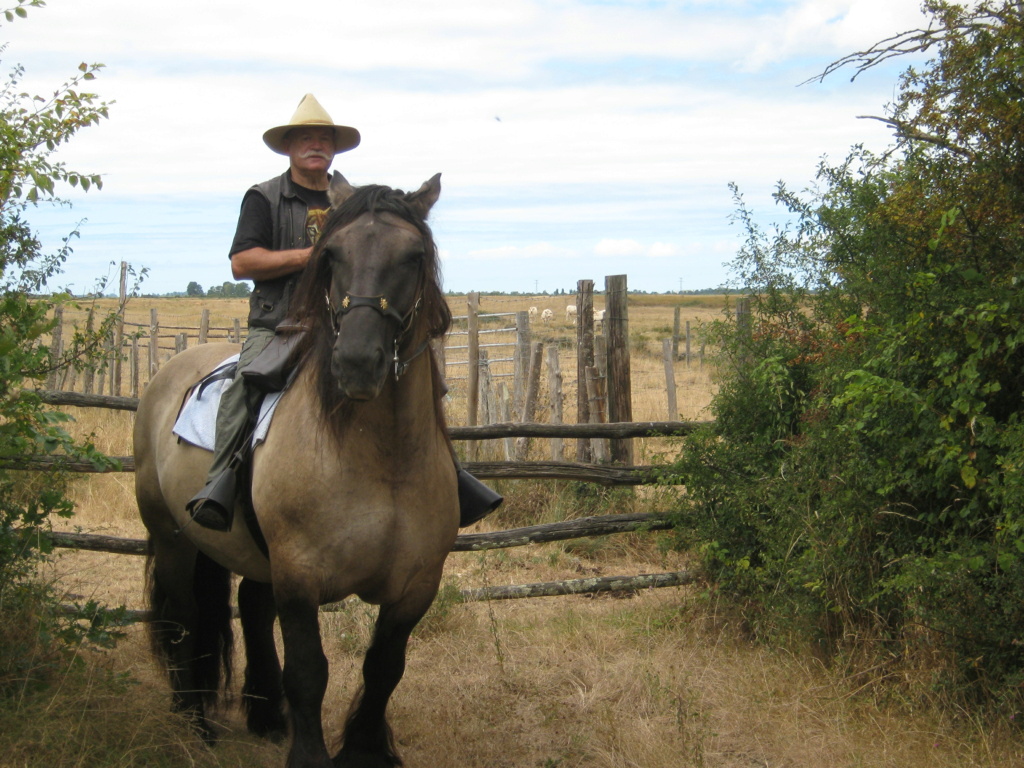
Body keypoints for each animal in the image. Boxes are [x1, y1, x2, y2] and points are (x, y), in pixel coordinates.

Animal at [131, 176, 456, 768]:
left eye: (414, 257)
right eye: (331, 255)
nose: (356, 363)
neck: (386, 464)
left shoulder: (415, 587)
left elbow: (383, 671)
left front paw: (363, 751)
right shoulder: (300, 576)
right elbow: (308, 672)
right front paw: (308, 753)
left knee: (252, 609)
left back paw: (264, 717)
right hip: (172, 539)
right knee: (185, 618)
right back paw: (193, 721)